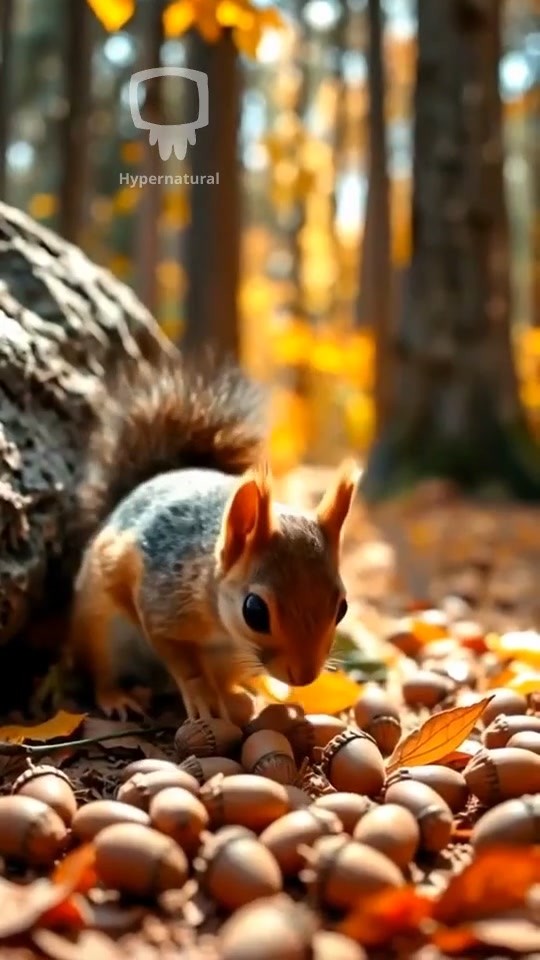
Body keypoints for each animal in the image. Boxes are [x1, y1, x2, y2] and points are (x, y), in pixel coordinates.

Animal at [68, 350, 359, 721]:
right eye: (254, 611)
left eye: (343, 608)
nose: (305, 676)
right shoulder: (159, 603)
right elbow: (182, 660)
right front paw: (202, 697)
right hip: (100, 629)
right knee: (102, 671)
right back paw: (117, 697)